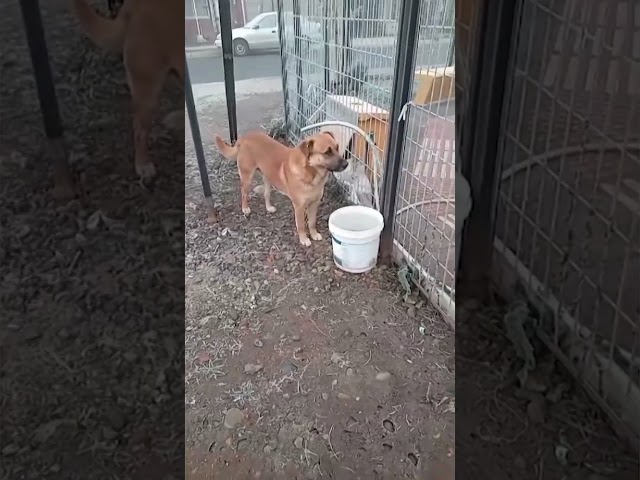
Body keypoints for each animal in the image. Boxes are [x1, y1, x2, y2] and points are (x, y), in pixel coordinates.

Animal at [215, 132, 348, 248]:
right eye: (327, 152)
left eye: (337, 148)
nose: (346, 164)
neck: (311, 173)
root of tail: (244, 137)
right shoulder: (299, 207)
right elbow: (301, 225)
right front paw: (304, 239)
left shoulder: (314, 204)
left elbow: (312, 222)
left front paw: (314, 234)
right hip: (247, 177)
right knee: (243, 193)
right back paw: (245, 208)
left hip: (268, 177)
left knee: (266, 194)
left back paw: (269, 207)